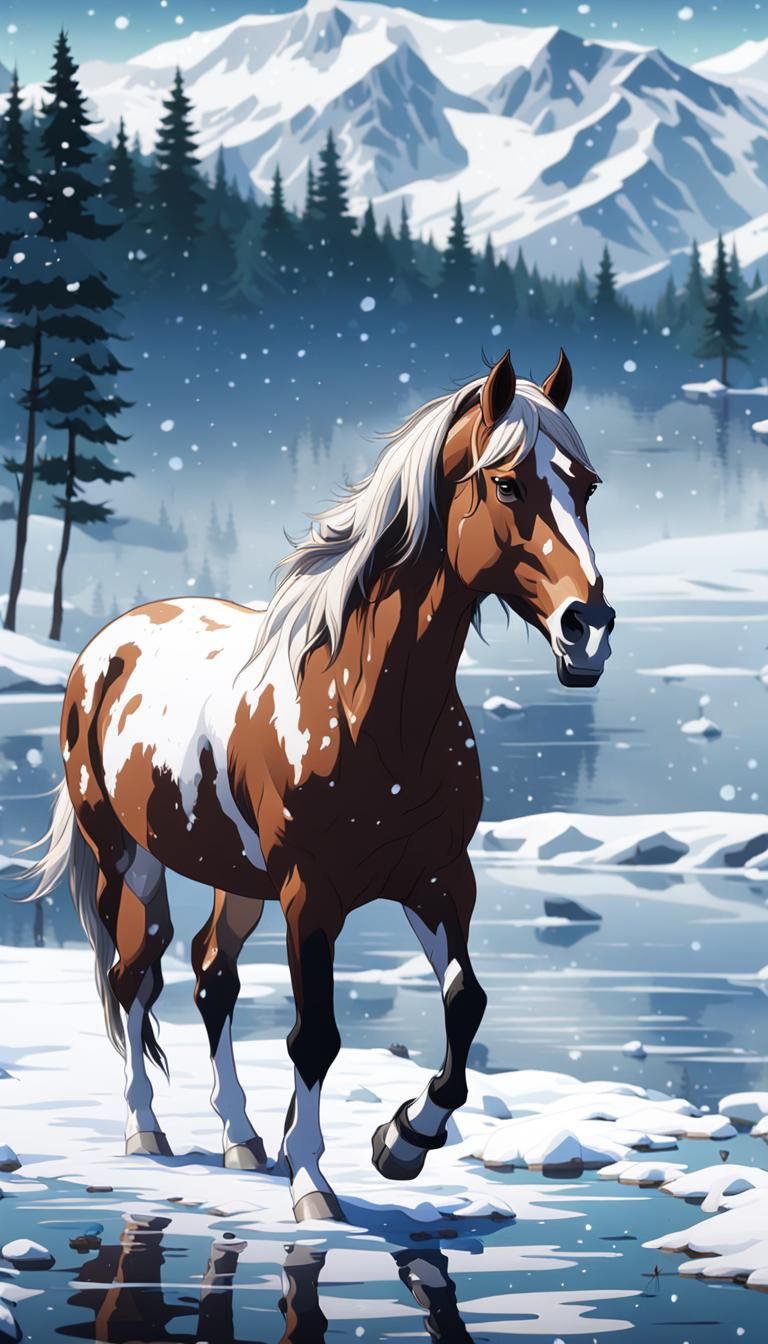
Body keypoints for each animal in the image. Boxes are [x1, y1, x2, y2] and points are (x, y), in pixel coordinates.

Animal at [25, 349, 614, 1223]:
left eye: (588, 485)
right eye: (508, 483)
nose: (589, 630)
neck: (365, 704)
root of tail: (107, 645)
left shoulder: (438, 878)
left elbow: (466, 1000)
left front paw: (403, 1140)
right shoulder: (312, 893)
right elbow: (316, 1036)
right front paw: (312, 1181)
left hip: (236, 877)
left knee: (211, 976)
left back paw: (240, 1139)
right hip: (125, 856)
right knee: (135, 977)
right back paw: (146, 1130)